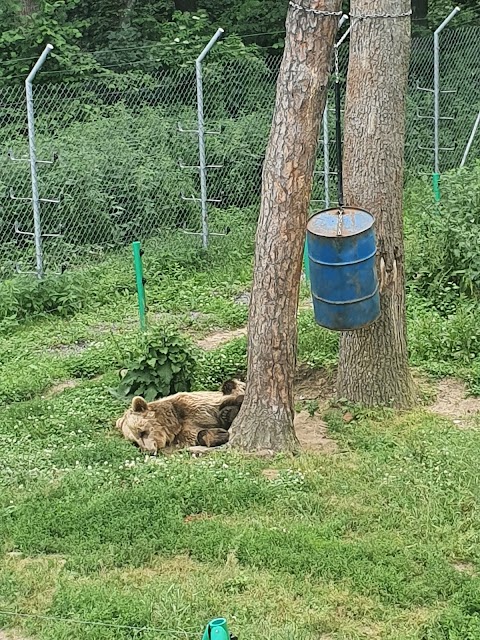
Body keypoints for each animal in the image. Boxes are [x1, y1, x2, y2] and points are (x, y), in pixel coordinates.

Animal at [115, 380, 246, 456]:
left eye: (142, 432)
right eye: (135, 443)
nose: (148, 451)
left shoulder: (193, 405)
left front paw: (228, 414)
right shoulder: (183, 437)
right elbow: (197, 435)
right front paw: (217, 435)